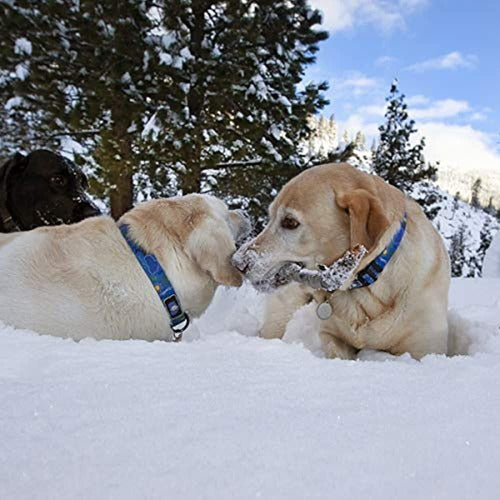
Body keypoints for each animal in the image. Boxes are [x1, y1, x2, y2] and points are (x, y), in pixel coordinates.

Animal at [232, 164, 452, 360]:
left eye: (290, 222)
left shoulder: (425, 349)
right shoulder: (329, 334)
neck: (368, 283)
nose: (236, 263)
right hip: (281, 312)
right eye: (270, 217)